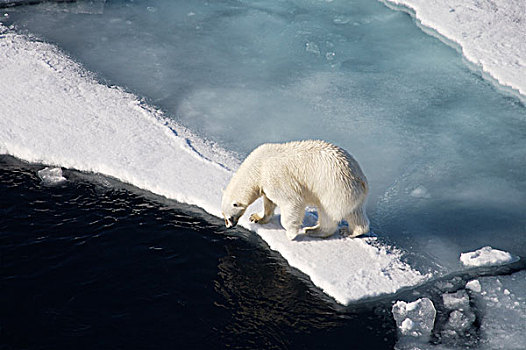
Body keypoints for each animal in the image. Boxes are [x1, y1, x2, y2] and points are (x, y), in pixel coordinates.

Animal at [223, 140, 372, 241]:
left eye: (229, 217)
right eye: (223, 215)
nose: (228, 226)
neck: (258, 166)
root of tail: (361, 180)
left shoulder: (275, 176)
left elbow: (291, 201)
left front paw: (290, 233)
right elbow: (269, 202)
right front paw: (256, 217)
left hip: (334, 188)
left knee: (327, 214)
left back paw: (313, 230)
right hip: (349, 193)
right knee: (355, 213)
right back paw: (351, 231)